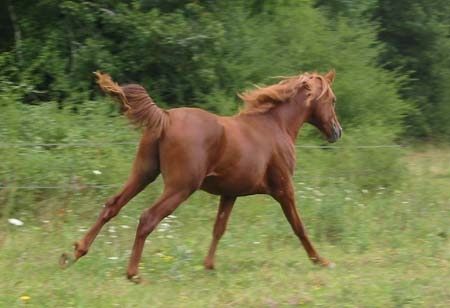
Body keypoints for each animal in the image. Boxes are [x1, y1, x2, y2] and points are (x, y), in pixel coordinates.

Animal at [59, 69, 342, 282]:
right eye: (333, 99)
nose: (337, 132)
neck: (276, 126)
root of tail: (166, 117)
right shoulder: (284, 189)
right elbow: (299, 226)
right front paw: (321, 261)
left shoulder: (230, 193)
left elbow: (219, 228)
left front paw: (208, 266)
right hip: (180, 187)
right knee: (147, 218)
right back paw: (133, 274)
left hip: (143, 174)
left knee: (112, 205)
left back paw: (77, 252)